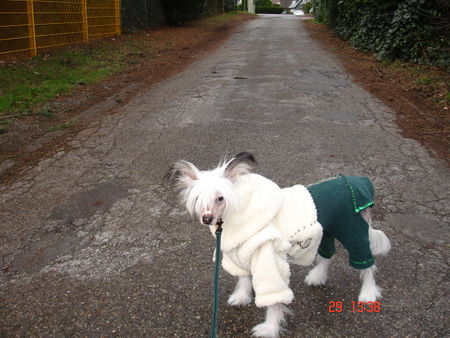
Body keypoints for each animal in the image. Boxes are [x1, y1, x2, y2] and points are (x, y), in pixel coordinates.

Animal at [165, 152, 390, 336]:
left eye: (220, 198)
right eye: (198, 199)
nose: (207, 219)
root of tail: (358, 182)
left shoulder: (269, 261)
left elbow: (273, 299)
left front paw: (269, 328)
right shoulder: (243, 253)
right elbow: (244, 279)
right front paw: (242, 296)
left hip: (353, 232)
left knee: (367, 265)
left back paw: (368, 293)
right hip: (327, 231)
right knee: (328, 254)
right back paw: (317, 276)